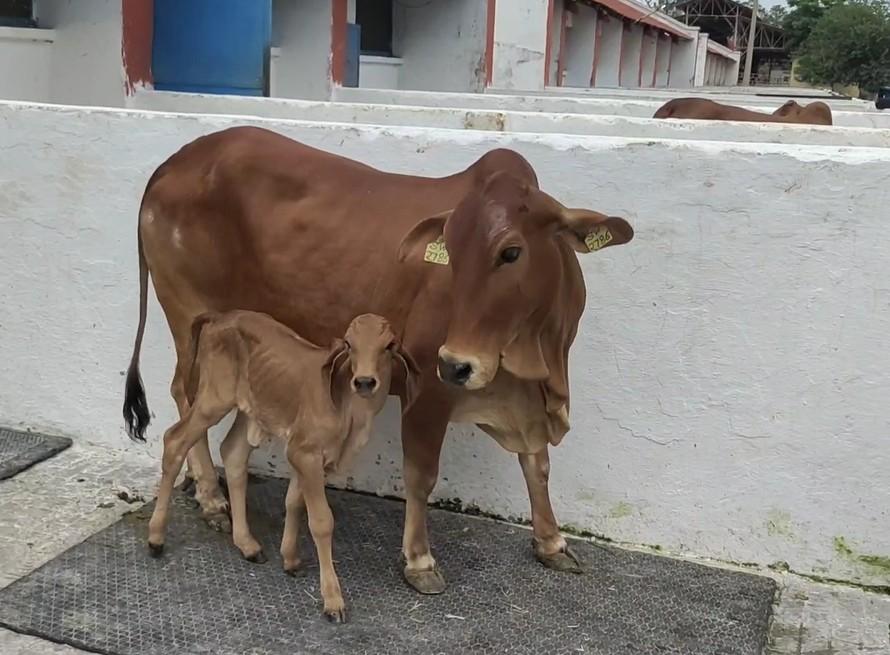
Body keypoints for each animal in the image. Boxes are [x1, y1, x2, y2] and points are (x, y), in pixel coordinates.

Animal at [147, 311, 418, 622]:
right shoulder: (305, 453)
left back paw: (247, 544)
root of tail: (221, 317)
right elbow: (321, 521)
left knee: (233, 453)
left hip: (249, 408)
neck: (350, 412)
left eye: (389, 345)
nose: (363, 381)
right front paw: (333, 599)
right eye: (350, 344)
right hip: (212, 400)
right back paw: (156, 538)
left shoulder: (310, 457)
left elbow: (294, 502)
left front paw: (289, 558)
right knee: (174, 440)